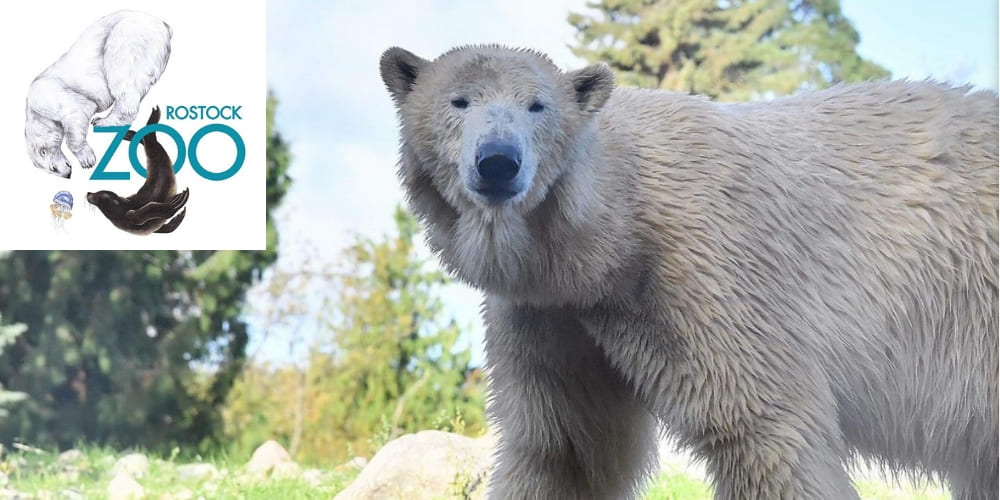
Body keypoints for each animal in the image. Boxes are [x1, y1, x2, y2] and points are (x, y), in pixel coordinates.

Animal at [24, 9, 172, 179]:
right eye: (52, 170)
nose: (67, 174)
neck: (33, 111)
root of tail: (163, 24)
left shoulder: (47, 94)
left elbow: (78, 110)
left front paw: (87, 159)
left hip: (130, 37)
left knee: (122, 75)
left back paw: (103, 122)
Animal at [378, 45, 996, 498]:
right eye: (459, 101)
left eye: (537, 106)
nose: (498, 162)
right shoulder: (552, 314)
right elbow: (562, 446)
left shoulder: (700, 273)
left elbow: (759, 425)